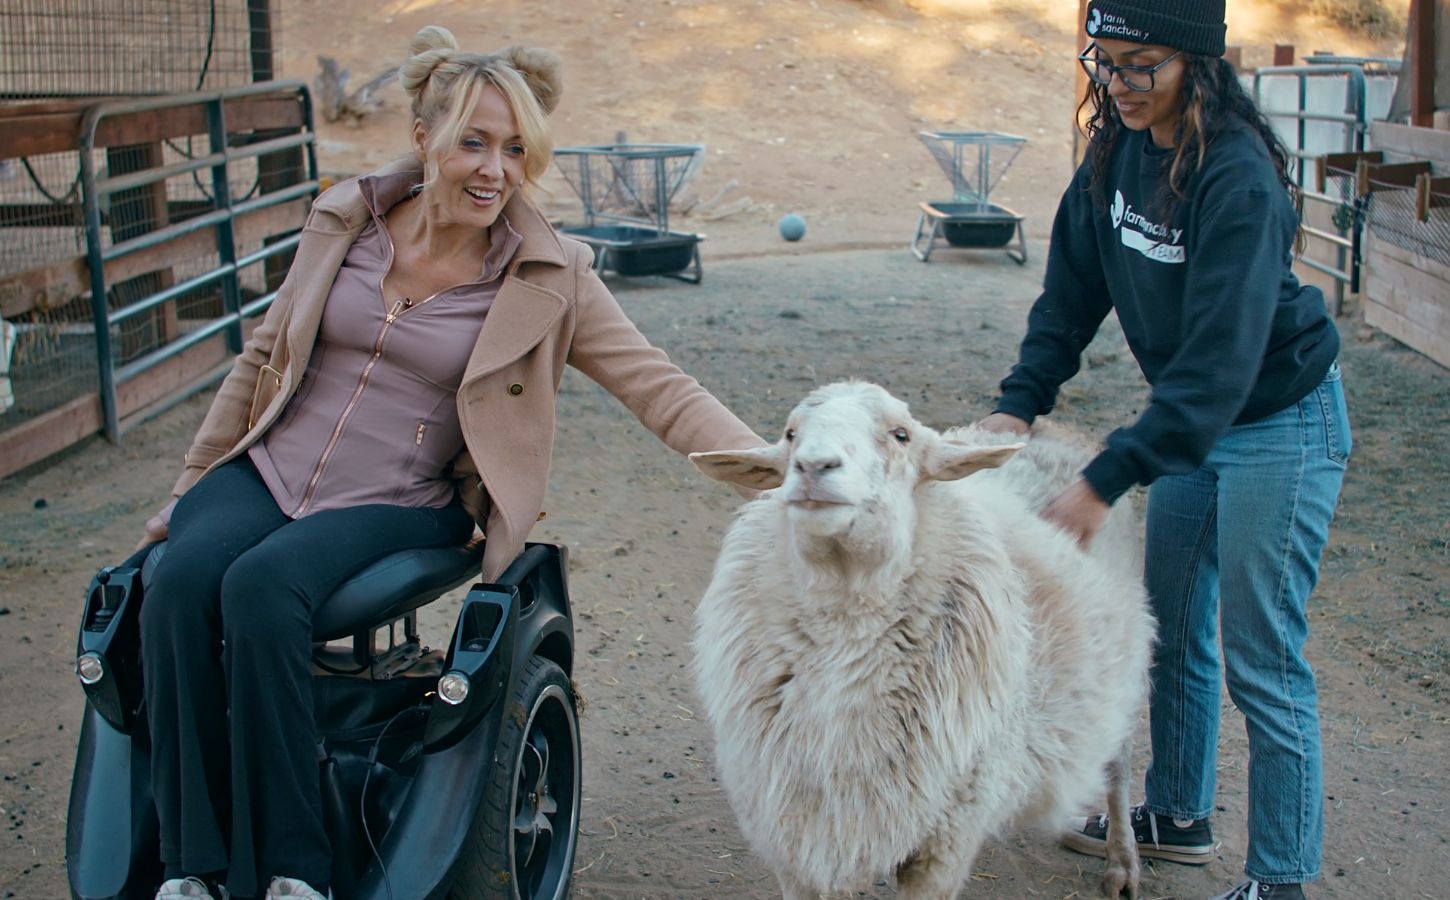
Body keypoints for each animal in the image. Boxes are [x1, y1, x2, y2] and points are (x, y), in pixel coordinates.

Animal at [690, 379, 1154, 898]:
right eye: (790, 434)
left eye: (901, 435)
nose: (814, 466)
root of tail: (1053, 427)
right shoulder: (803, 839)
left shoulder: (944, 845)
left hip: (1121, 669)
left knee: (1119, 766)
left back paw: (1122, 861)